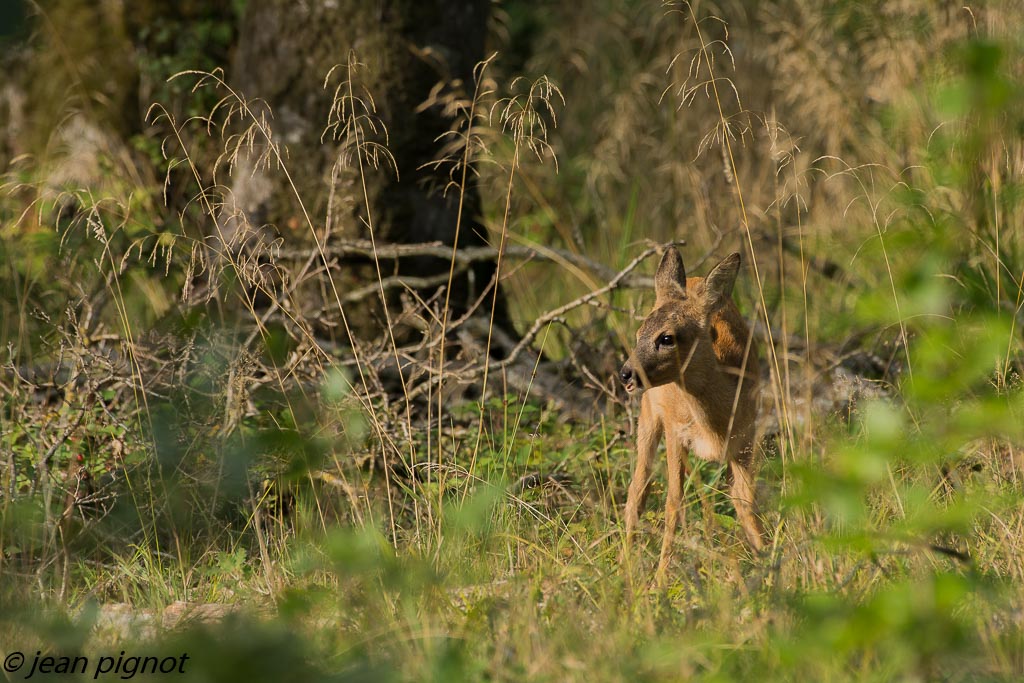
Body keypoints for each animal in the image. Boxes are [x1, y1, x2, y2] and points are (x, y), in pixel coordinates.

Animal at [618, 245, 765, 577]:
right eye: (637, 333)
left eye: (667, 337)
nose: (626, 374)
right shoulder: (676, 431)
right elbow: (674, 501)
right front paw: (660, 580)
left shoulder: (746, 438)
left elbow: (745, 499)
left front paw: (769, 561)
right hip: (650, 415)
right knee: (638, 489)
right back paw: (626, 567)